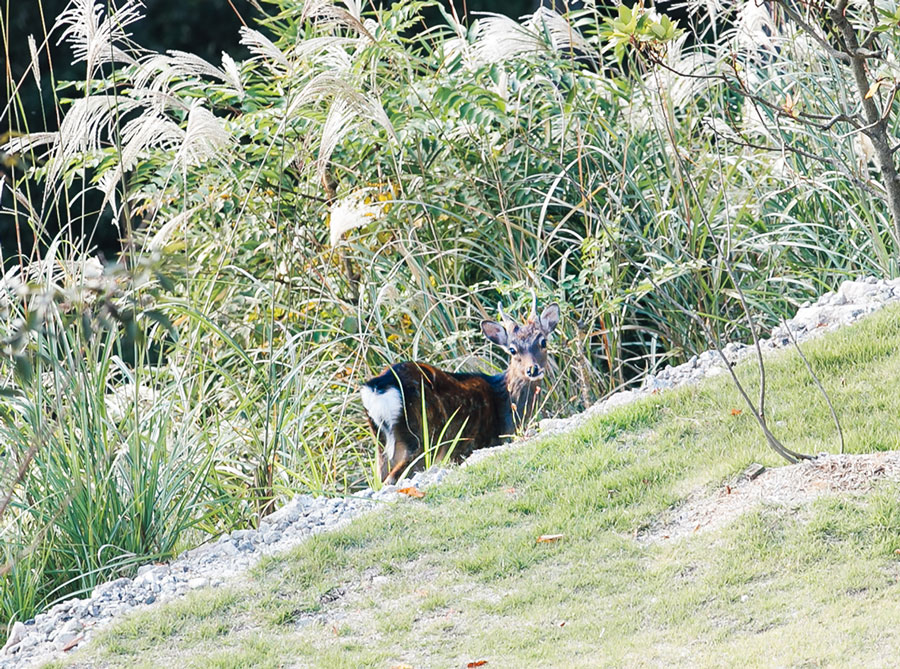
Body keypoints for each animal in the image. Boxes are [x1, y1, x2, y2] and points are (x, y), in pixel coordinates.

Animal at [360, 292, 560, 480]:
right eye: (512, 349)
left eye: (543, 341)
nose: (532, 369)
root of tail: (378, 387)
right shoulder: (476, 444)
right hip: (421, 437)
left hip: (382, 443)